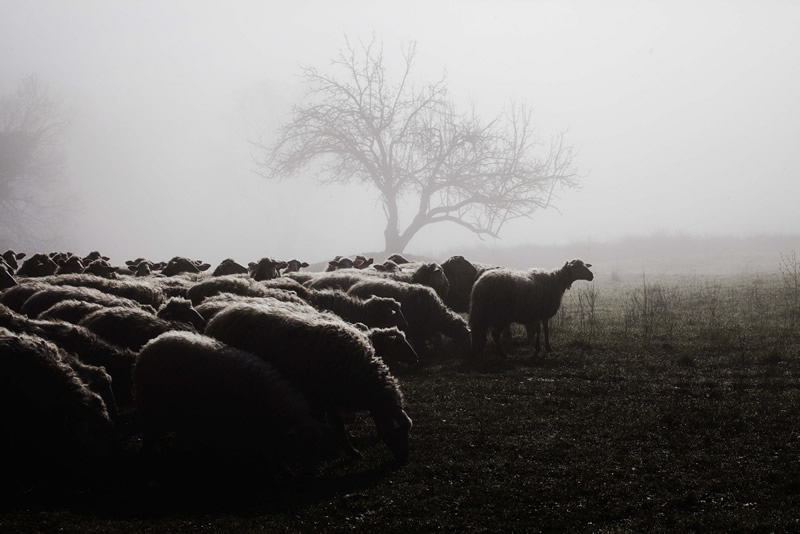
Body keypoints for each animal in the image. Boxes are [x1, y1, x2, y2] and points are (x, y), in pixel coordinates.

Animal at [206, 304, 412, 466]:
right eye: (396, 431)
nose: (404, 460)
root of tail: (220, 316)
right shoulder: (325, 397)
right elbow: (338, 426)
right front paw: (351, 452)